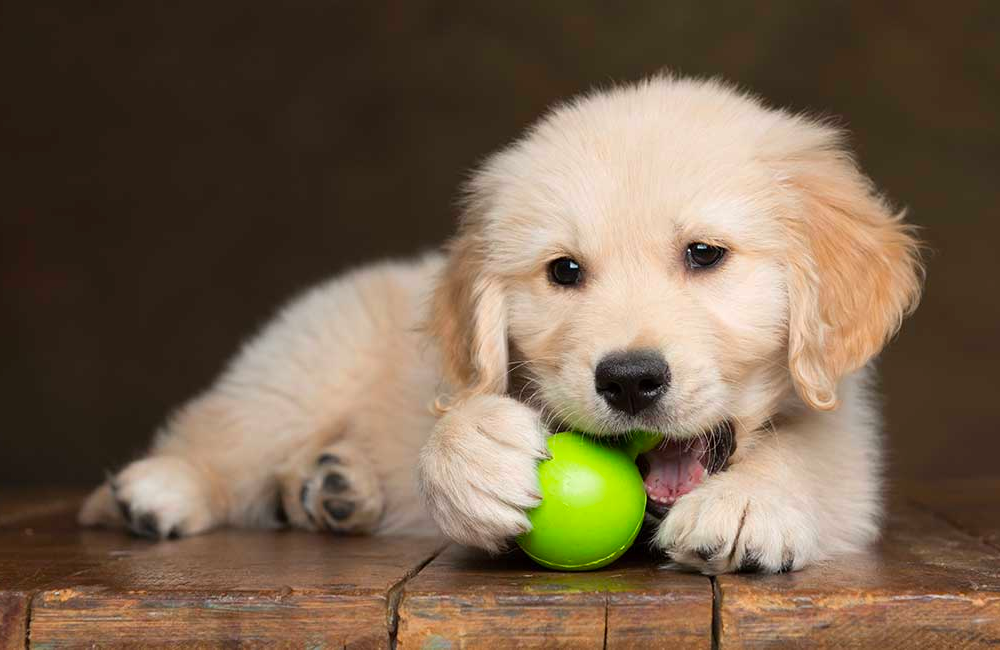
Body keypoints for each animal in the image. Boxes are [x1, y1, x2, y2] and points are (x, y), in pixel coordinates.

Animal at [80, 76, 920, 572]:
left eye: (705, 254)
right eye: (565, 272)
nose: (629, 380)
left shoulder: (853, 451)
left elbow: (810, 455)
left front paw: (750, 501)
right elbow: (456, 419)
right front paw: (473, 453)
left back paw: (334, 488)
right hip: (304, 361)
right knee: (227, 432)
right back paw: (163, 488)